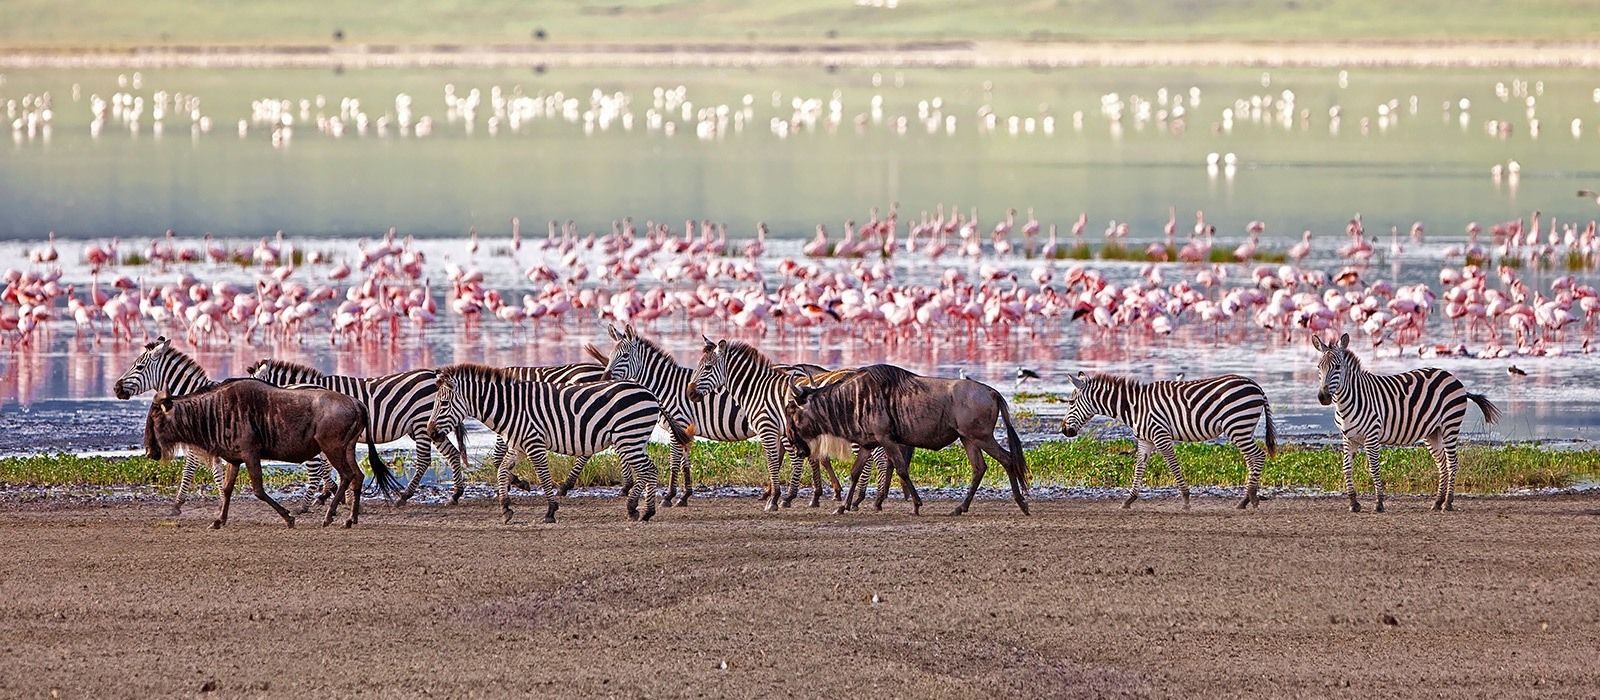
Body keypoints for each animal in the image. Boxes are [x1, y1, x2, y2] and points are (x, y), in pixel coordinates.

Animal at [116, 335, 336, 517]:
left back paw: (308, 505)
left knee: (317, 467)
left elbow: (191, 470)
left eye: (139, 367)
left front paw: (179, 505)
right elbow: (216, 472)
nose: (116, 389)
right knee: (323, 465)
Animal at [246, 361, 467, 501]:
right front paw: (335, 492)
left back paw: (405, 496)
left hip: (422, 423)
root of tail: (433, 374)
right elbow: (328, 465)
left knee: (424, 460)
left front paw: (331, 493)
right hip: (430, 427)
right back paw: (456, 493)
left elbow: (325, 466)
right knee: (452, 453)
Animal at [419, 364, 675, 521]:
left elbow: (543, 476)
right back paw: (636, 509)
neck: (511, 407)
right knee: (646, 471)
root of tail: (650, 393)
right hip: (633, 439)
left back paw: (644, 511)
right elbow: (502, 471)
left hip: (628, 437)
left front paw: (550, 511)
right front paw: (505, 508)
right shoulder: (518, 446)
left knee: (649, 470)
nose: (430, 432)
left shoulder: (534, 443)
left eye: (443, 404)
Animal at [1062, 372, 1273, 508]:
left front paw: (1186, 500)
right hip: (1242, 428)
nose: (1064, 431)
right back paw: (1246, 500)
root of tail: (1257, 386)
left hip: (1237, 425)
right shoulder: (1145, 440)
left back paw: (1250, 499)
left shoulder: (1160, 436)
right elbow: (1139, 468)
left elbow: (1173, 465)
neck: (1134, 407)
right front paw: (1129, 500)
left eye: (1071, 403)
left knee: (1258, 456)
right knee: (1251, 459)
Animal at [1312, 330, 1497, 511]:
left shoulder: (1372, 436)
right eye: (1319, 367)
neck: (1348, 401)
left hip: (1450, 425)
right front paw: (1353, 503)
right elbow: (1346, 468)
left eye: (1337, 367)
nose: (1323, 397)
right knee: (1442, 465)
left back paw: (1448, 503)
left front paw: (1379, 503)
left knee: (1452, 463)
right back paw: (1438, 502)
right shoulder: (1348, 438)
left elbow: (1374, 468)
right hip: (1432, 432)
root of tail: (1452, 377)